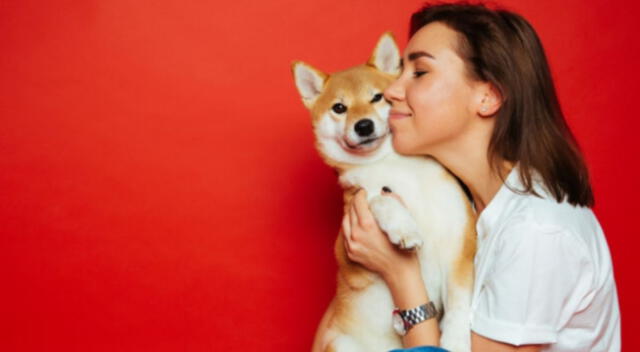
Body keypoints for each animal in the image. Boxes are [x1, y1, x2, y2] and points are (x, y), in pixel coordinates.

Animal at [292, 31, 478, 350]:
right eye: (339, 108)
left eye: (377, 97)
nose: (364, 125)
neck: (395, 165)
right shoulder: (348, 250)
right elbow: (380, 199)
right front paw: (404, 228)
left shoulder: (461, 243)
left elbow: (459, 308)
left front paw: (456, 341)